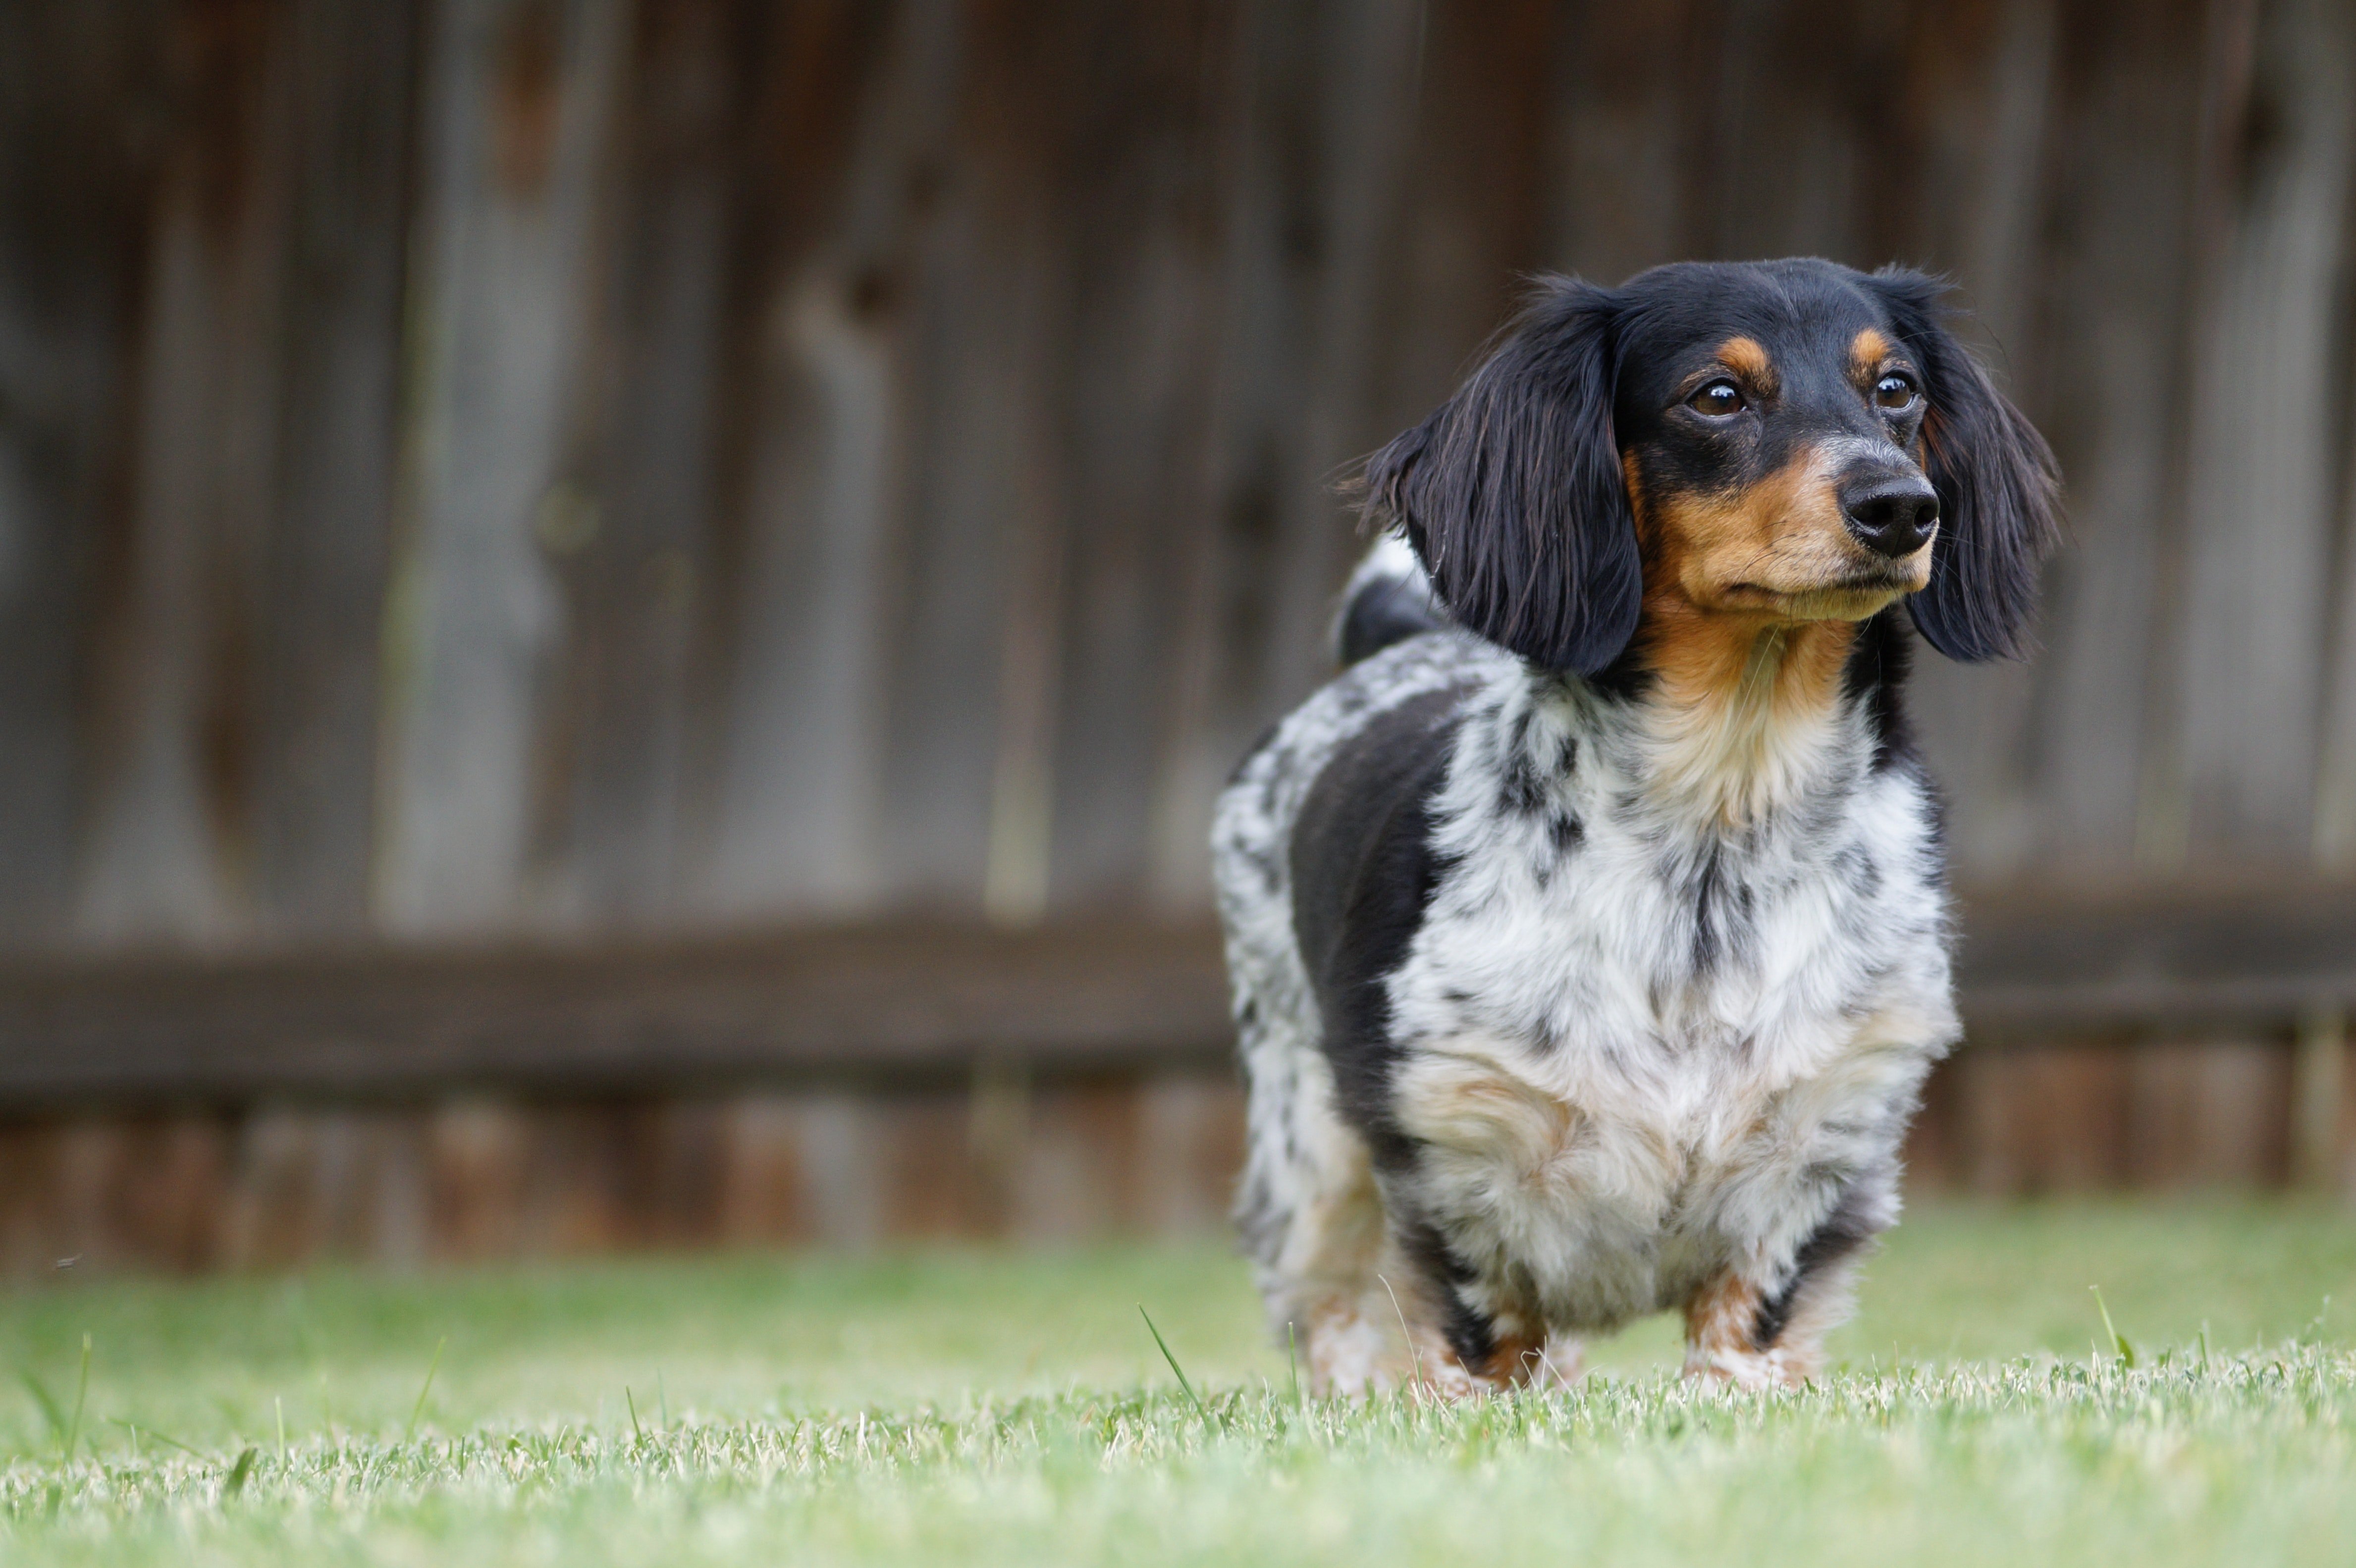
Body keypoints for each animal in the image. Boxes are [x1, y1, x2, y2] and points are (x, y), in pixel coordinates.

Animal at [1216, 259, 2064, 1394]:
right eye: (1716, 395)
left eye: (1895, 389)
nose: (1901, 506)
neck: (1717, 825)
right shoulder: (1452, 1149)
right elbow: (1473, 1333)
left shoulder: (1822, 1138)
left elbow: (1747, 1329)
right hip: (1305, 1147)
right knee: (1330, 1307)